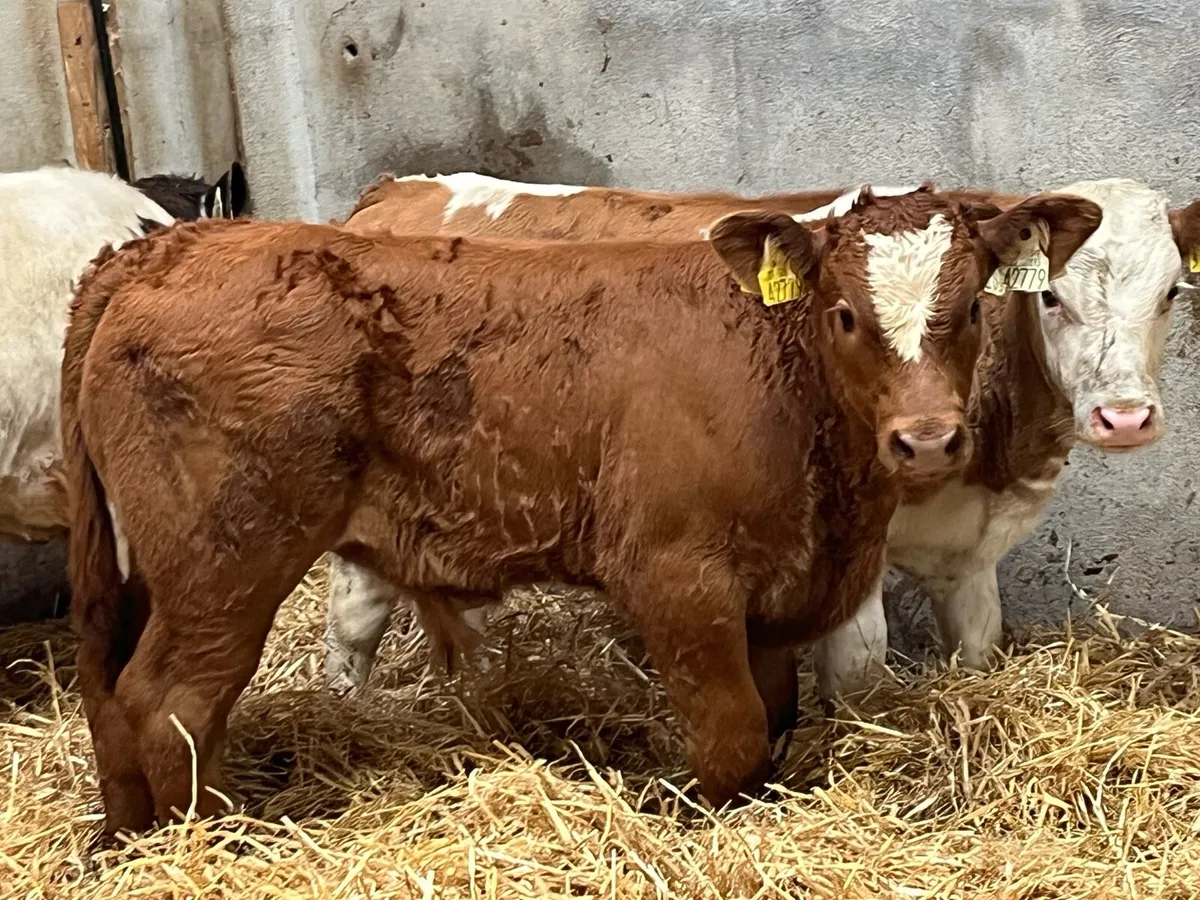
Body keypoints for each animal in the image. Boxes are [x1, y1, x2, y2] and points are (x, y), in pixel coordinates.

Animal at [61, 187, 1101, 833]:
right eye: (844, 314)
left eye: (973, 310)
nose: (927, 441)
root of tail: (170, 246)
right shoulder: (678, 579)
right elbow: (730, 734)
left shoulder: (771, 593)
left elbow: (770, 725)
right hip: (224, 563)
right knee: (171, 705)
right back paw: (213, 844)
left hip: (149, 570)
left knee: (115, 701)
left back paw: (127, 842)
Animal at [329, 174, 1200, 701]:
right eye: (1049, 297)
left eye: (1171, 292)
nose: (1125, 417)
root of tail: (397, 192)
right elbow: (859, 668)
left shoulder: (970, 559)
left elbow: (977, 647)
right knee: (353, 619)